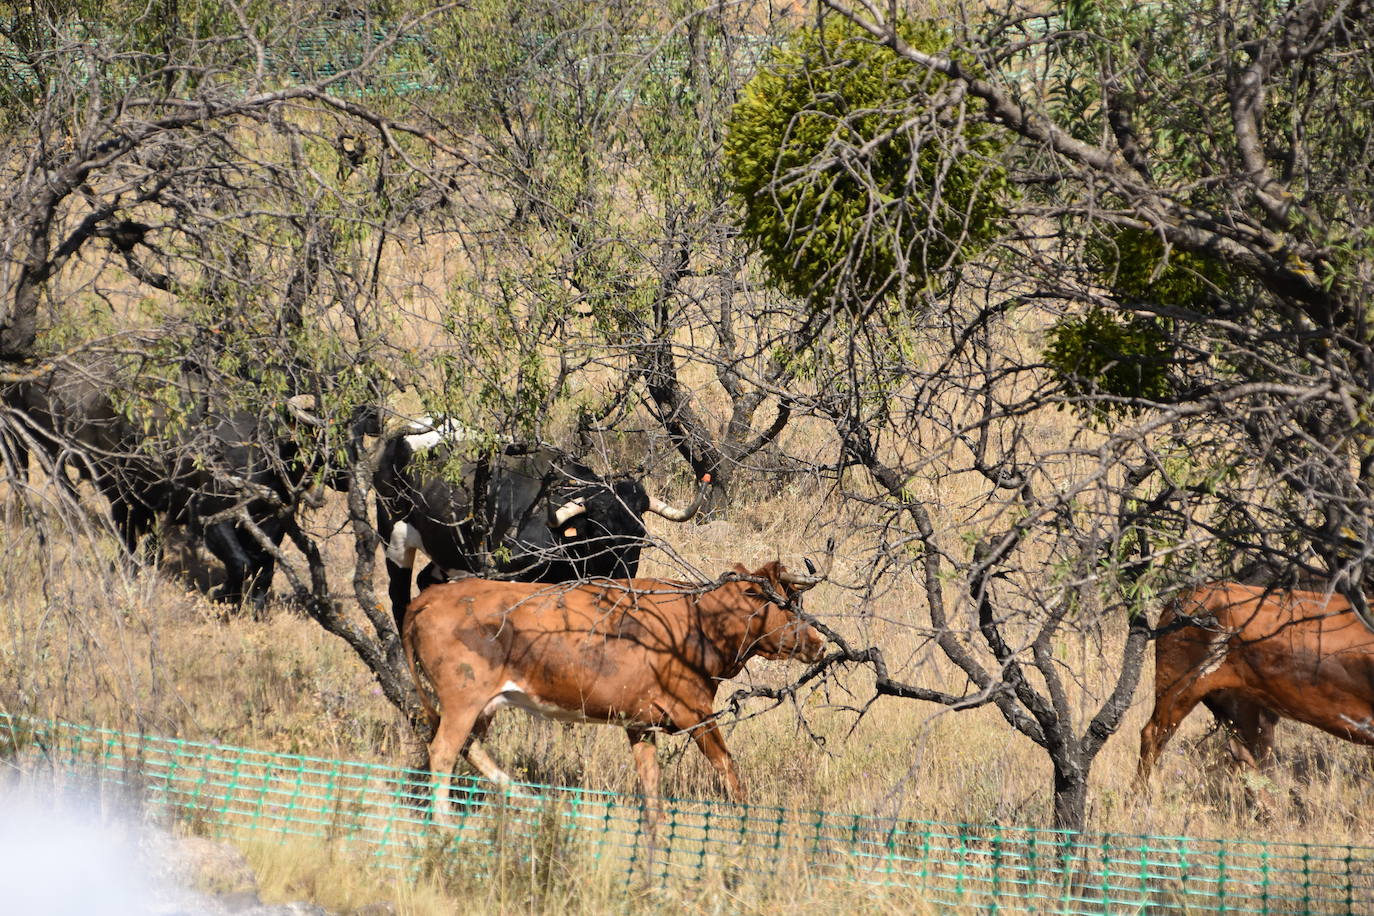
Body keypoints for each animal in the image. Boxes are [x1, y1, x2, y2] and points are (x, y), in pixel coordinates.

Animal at [373, 420, 708, 634]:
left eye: (639, 536)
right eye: (602, 534)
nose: (622, 578)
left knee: (426, 581)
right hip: (394, 537)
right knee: (398, 598)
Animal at [401, 560, 824, 823]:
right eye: (787, 602)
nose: (818, 643)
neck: (699, 619)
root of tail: (428, 598)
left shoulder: (641, 723)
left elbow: (650, 783)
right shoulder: (693, 708)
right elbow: (727, 765)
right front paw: (745, 818)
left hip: (484, 705)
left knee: (469, 747)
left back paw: (526, 797)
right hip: (463, 699)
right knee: (443, 751)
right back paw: (444, 824)